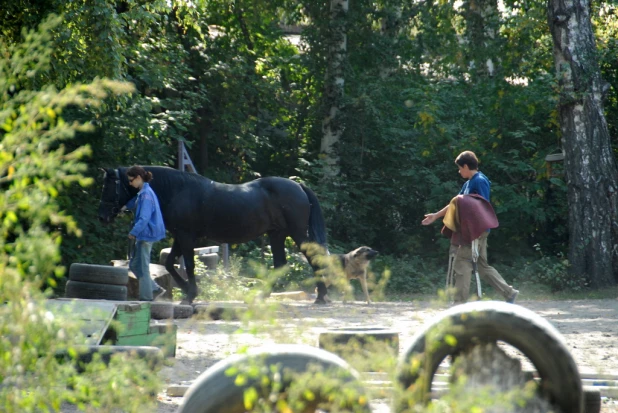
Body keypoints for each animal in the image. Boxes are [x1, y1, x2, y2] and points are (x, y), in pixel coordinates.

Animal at [97, 166, 328, 304]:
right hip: (276, 235)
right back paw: (263, 296)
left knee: (313, 259)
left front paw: (190, 295)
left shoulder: (186, 237)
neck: (178, 191)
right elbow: (170, 263)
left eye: (110, 187)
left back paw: (321, 296)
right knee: (280, 263)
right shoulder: (180, 237)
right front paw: (187, 291)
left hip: (297, 233)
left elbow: (189, 265)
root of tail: (298, 186)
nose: (102, 216)